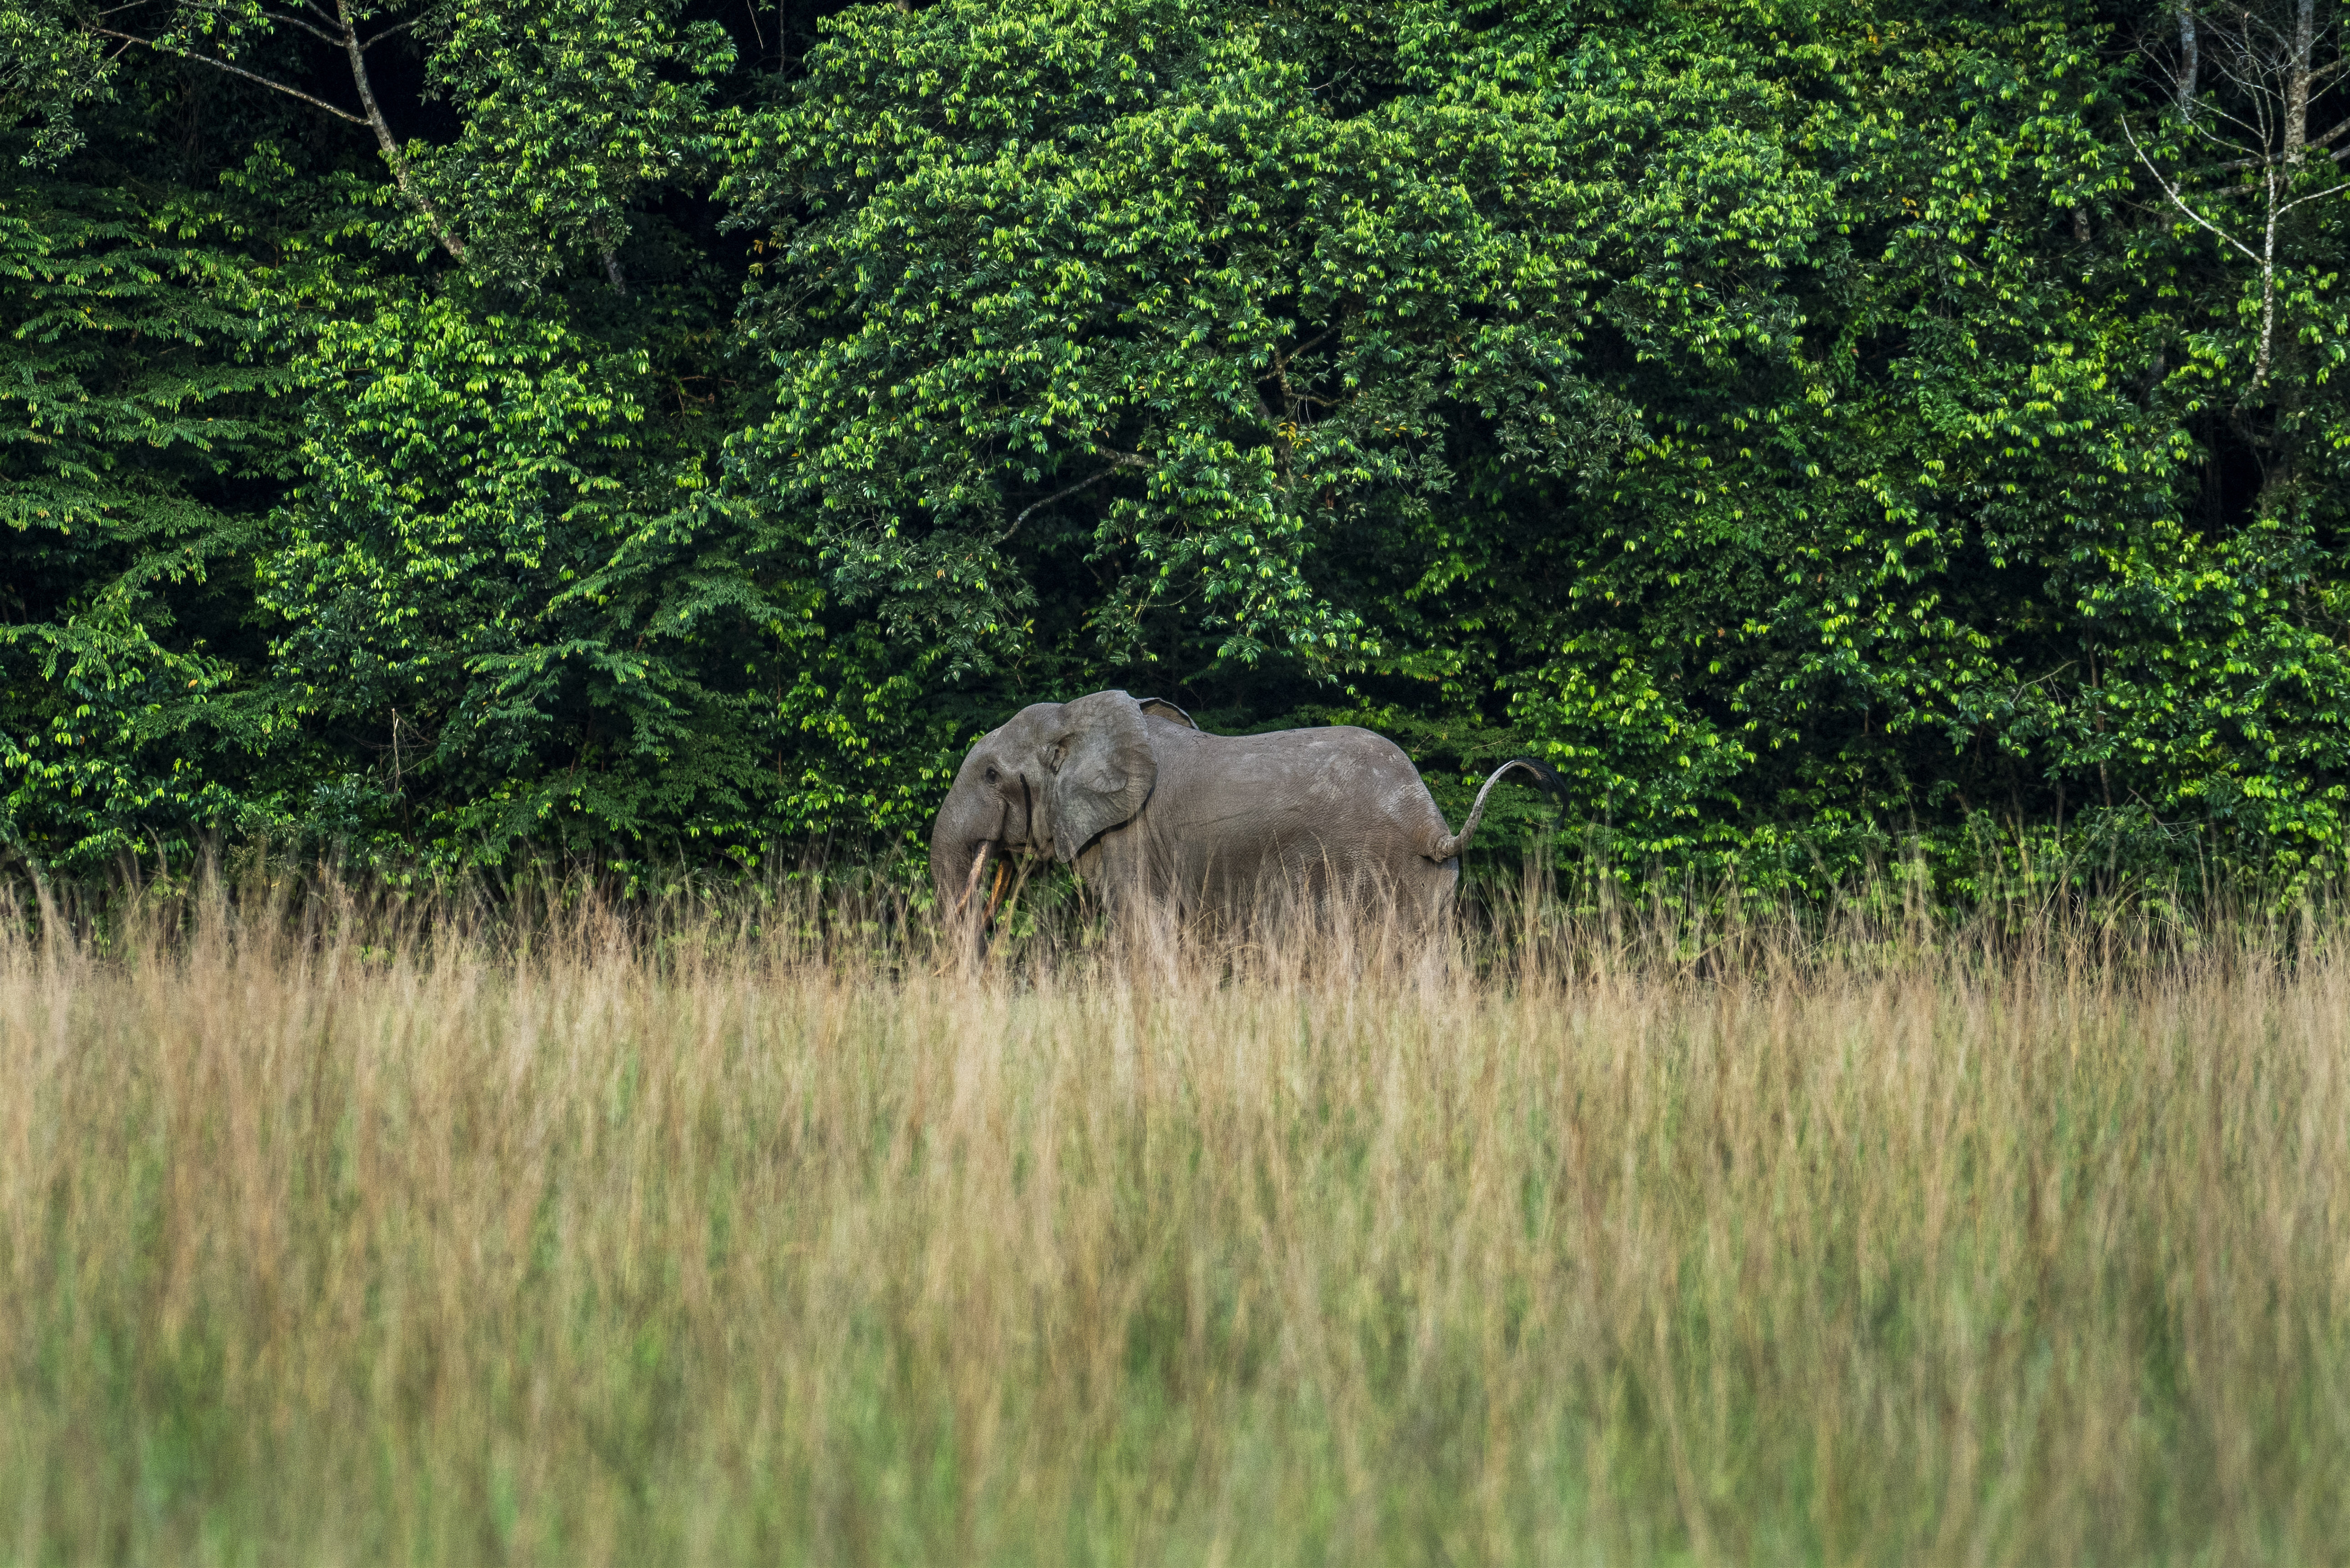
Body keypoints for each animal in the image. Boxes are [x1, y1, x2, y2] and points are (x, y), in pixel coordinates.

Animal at [928, 689, 1561, 938]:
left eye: (990, 775)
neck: (1077, 716)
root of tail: (1432, 825)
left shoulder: (1133, 842)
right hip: (1429, 887)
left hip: (1372, 871)